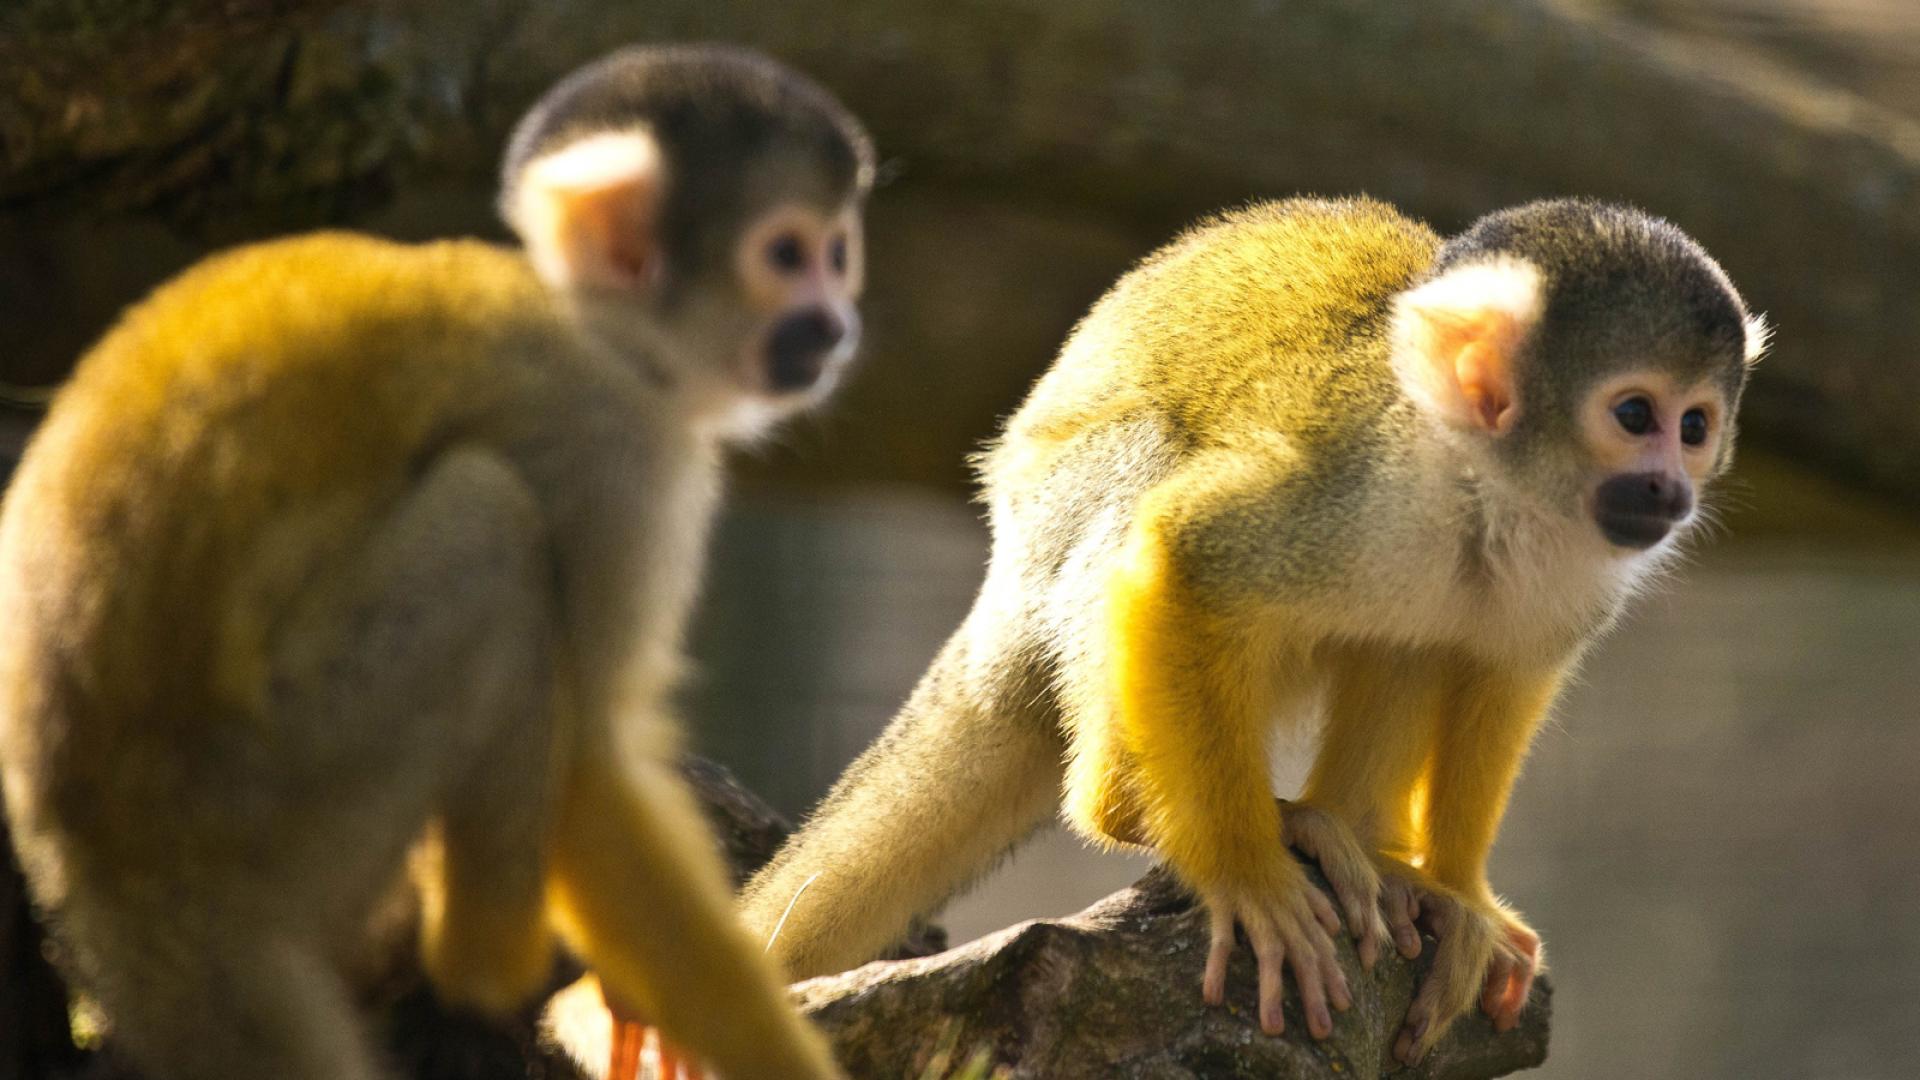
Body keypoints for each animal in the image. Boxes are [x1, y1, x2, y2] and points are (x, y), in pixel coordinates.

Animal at [0, 43, 871, 1080]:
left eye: (839, 253)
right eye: (787, 254)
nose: (835, 323)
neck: (600, 330)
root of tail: (104, 879)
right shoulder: (612, 452)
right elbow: (596, 768)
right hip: (265, 797)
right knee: (493, 530)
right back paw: (483, 960)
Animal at [736, 196, 1766, 1063]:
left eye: (1695, 426)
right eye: (1634, 414)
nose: (1669, 490)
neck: (1489, 493)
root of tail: (997, 612)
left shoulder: (1579, 575)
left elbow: (1505, 670)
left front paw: (1459, 894)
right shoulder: (1357, 484)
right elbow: (1186, 559)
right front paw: (1245, 874)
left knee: (1415, 637)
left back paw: (1372, 851)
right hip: (1048, 547)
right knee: (1147, 464)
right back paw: (1173, 811)